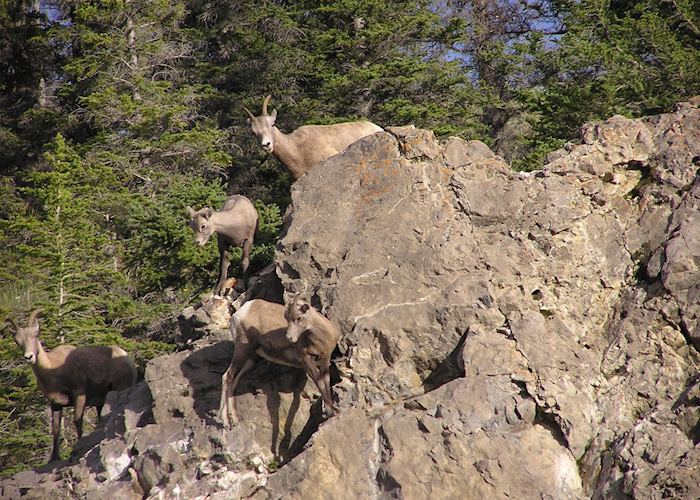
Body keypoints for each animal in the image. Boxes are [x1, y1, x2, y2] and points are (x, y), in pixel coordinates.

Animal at [6, 310, 138, 462]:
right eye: (17, 341)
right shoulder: (56, 404)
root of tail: (128, 360)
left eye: (36, 335)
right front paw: (54, 458)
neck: (53, 369)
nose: (29, 357)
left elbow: (77, 422)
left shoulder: (79, 395)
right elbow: (56, 429)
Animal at [219, 296, 340, 430]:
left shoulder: (325, 360)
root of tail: (239, 313)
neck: (322, 338)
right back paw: (226, 422)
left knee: (235, 381)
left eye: (299, 318)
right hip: (242, 351)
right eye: (287, 318)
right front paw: (332, 411)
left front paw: (330, 411)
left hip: (251, 360)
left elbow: (326, 381)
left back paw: (234, 419)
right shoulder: (306, 361)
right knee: (227, 377)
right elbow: (320, 382)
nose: (290, 338)